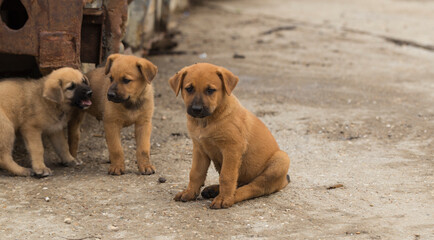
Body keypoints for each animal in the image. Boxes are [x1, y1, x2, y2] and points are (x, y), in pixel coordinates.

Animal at [170, 63, 292, 208]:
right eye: (189, 89)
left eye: (210, 90)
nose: (196, 109)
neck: (207, 121)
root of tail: (283, 181)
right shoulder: (200, 149)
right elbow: (195, 173)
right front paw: (189, 193)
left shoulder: (232, 149)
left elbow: (226, 176)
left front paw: (224, 198)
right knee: (240, 183)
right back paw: (213, 190)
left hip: (280, 160)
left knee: (254, 187)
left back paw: (232, 196)